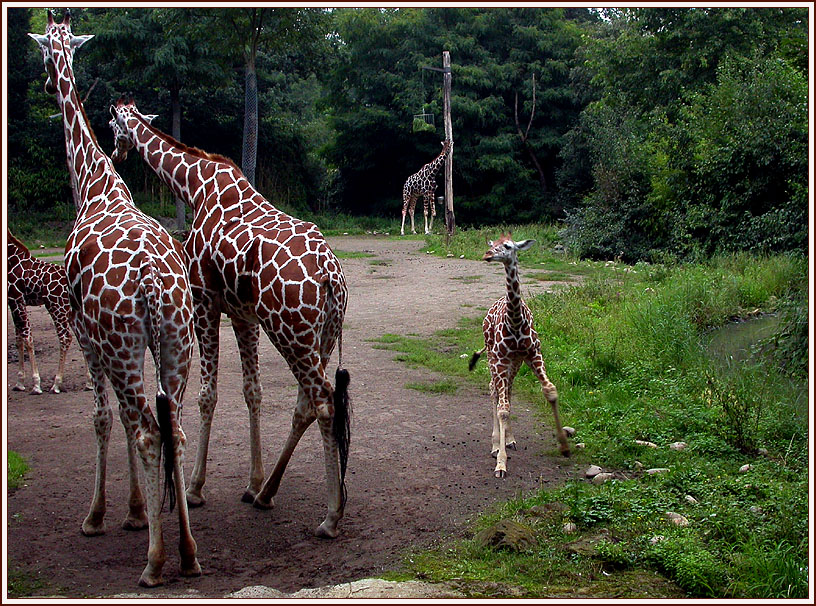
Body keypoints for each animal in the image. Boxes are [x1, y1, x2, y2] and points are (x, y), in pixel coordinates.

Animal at [6, 230, 74, 396]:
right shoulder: (14, 303)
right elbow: (19, 340)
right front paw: (19, 383)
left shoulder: (16, 299)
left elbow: (28, 338)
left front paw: (36, 385)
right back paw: (89, 383)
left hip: (56, 307)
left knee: (65, 338)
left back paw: (56, 384)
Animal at [31, 10, 200, 588]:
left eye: (41, 50)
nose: (44, 81)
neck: (94, 184)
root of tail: (150, 280)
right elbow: (129, 422)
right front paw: (137, 511)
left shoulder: (88, 337)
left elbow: (104, 419)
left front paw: (100, 515)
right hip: (176, 341)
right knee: (173, 430)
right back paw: (189, 553)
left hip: (122, 343)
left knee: (149, 431)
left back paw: (155, 562)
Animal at [108, 96, 350, 540]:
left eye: (115, 124)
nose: (117, 151)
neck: (195, 184)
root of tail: (331, 276)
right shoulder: (243, 314)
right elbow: (252, 391)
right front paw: (252, 482)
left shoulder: (205, 300)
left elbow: (208, 394)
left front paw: (195, 487)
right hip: (320, 336)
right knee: (306, 404)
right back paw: (267, 492)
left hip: (290, 332)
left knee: (323, 403)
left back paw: (330, 517)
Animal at [468, 235, 572, 478]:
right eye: (492, 244)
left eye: (507, 246)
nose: (487, 254)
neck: (515, 321)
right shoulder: (499, 360)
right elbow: (502, 409)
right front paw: (501, 463)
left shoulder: (533, 354)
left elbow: (550, 391)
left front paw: (564, 447)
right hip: (492, 358)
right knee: (494, 392)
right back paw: (496, 445)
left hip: (513, 363)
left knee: (508, 391)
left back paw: (510, 440)